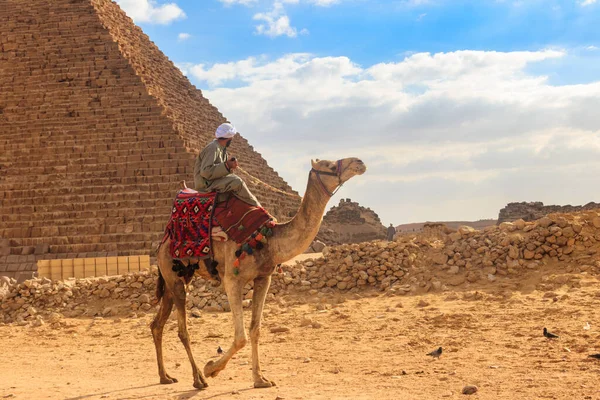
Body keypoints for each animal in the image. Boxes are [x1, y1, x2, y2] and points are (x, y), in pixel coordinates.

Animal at [150, 158, 366, 390]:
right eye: (329, 165)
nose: (359, 163)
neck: (269, 239)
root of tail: (163, 240)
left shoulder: (264, 278)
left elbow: (255, 330)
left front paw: (260, 379)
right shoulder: (232, 280)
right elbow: (241, 337)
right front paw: (212, 368)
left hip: (178, 277)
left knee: (157, 324)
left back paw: (165, 376)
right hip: (173, 274)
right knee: (182, 330)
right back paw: (199, 378)